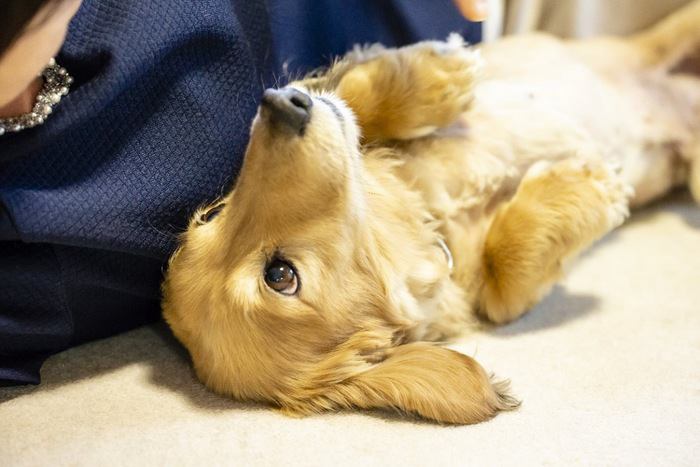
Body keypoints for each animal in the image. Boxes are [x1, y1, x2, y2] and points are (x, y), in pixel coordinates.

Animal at [161, 0, 700, 424]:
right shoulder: (494, 296)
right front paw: (586, 182)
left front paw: (440, 73)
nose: (280, 103)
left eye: (210, 216)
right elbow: (505, 283)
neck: (431, 219)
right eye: (279, 275)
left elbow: (355, 93)